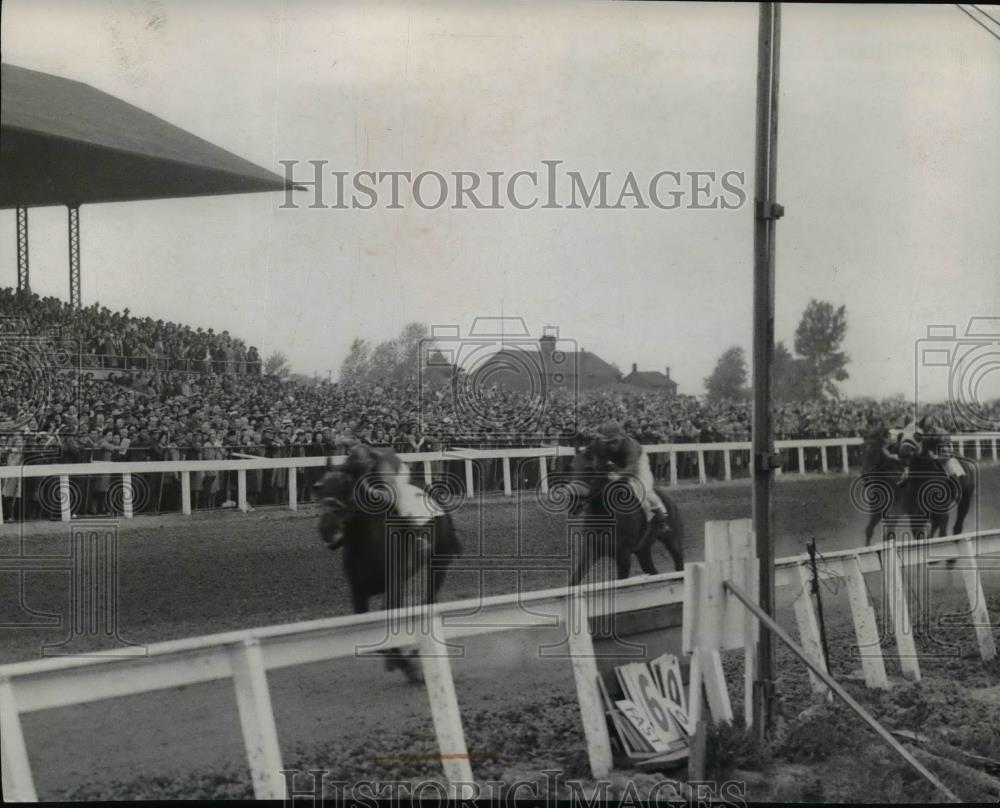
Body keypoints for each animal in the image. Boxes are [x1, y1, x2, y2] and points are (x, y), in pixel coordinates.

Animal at [314, 446, 462, 684]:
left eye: (347, 491)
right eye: (320, 490)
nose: (327, 531)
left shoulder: (394, 586)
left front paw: (410, 666)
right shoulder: (358, 591)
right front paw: (400, 663)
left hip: (440, 561)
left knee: (429, 598)